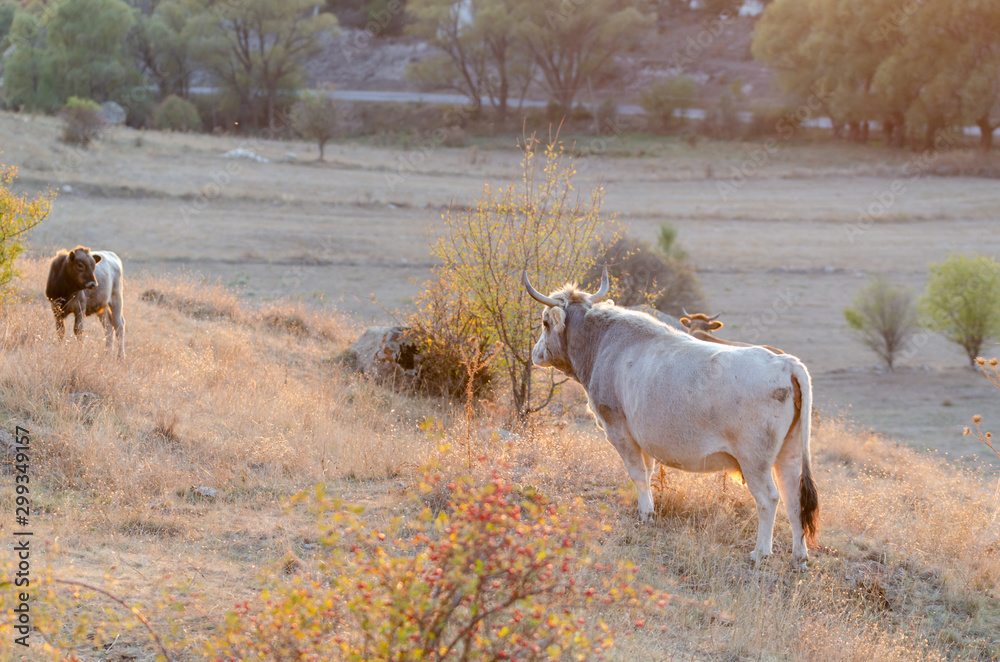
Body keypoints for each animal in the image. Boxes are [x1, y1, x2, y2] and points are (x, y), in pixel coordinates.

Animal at [523, 268, 818, 569]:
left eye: (544, 322)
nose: (535, 354)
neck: (602, 342)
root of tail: (786, 363)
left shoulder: (618, 429)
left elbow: (638, 474)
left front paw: (645, 514)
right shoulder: (644, 438)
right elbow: (648, 471)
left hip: (754, 459)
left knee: (769, 499)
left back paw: (760, 552)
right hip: (789, 453)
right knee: (794, 498)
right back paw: (799, 556)